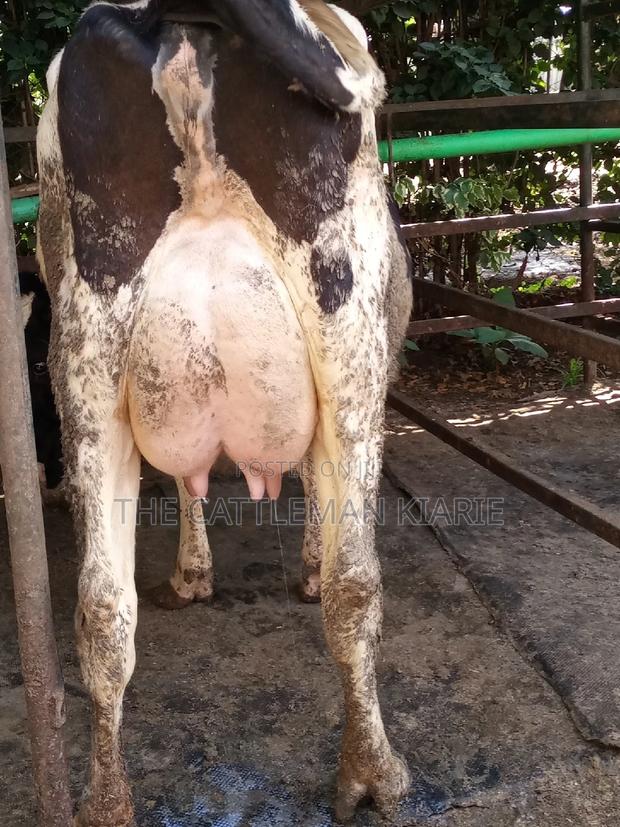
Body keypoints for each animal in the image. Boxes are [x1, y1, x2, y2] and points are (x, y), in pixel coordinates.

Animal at [36, 0, 413, 823]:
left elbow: (190, 481)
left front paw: (194, 571)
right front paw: (294, 562)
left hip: (85, 355)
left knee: (102, 608)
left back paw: (106, 800)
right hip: (350, 336)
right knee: (356, 586)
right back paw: (373, 773)